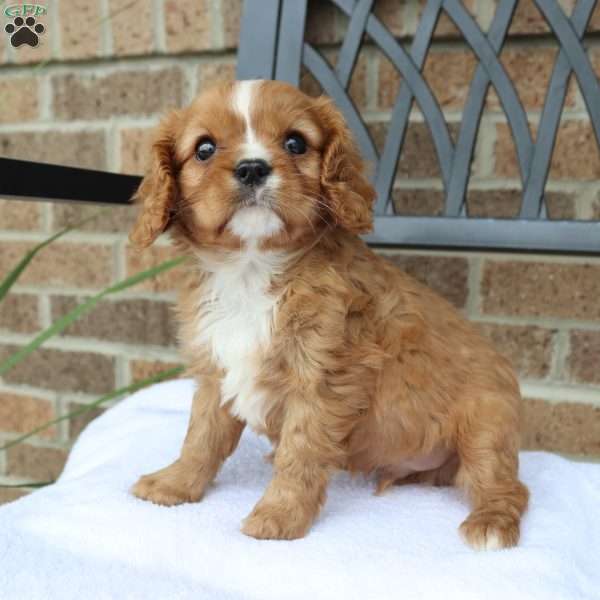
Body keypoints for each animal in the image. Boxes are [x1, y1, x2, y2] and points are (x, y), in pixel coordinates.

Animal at [129, 81, 528, 552]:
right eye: (204, 149)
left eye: (295, 143)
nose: (252, 168)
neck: (252, 268)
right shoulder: (217, 370)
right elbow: (201, 436)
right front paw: (175, 484)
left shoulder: (324, 378)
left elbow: (300, 451)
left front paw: (279, 516)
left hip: (487, 424)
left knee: (505, 485)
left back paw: (491, 523)